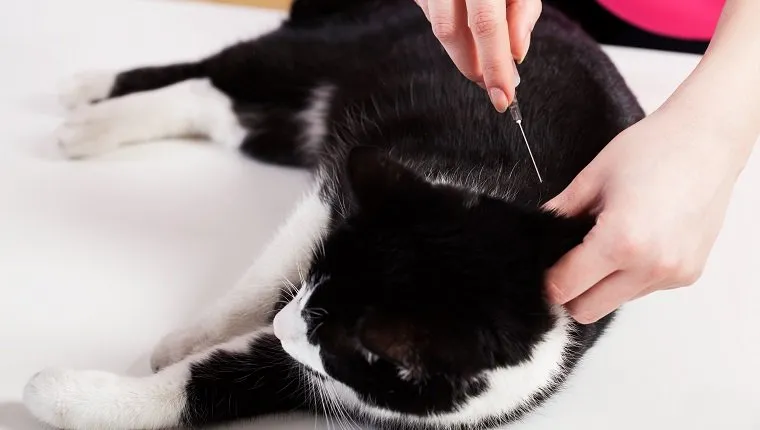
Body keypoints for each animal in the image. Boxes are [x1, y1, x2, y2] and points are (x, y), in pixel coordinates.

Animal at [22, 0, 640, 430]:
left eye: (331, 337)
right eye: (313, 286)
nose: (280, 323)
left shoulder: (337, 383)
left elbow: (203, 388)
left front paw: (59, 394)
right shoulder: (341, 196)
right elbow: (268, 271)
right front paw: (191, 335)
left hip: (289, 128)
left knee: (217, 105)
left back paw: (93, 123)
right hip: (335, 47)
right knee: (222, 68)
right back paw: (88, 97)